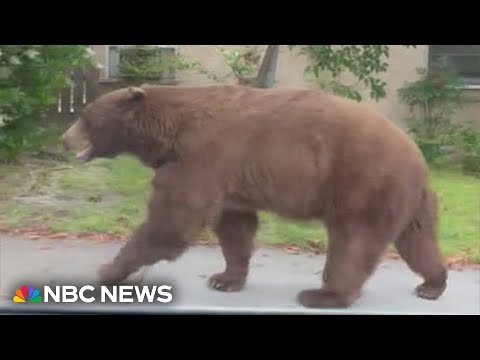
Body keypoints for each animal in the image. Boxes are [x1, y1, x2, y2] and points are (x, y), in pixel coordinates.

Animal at [62, 84, 448, 310]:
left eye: (85, 116)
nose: (65, 139)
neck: (169, 133)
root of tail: (418, 155)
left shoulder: (200, 158)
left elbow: (172, 222)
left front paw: (108, 270)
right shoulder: (228, 176)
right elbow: (235, 227)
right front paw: (225, 278)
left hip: (363, 183)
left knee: (353, 242)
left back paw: (324, 295)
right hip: (409, 198)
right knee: (417, 240)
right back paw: (433, 284)